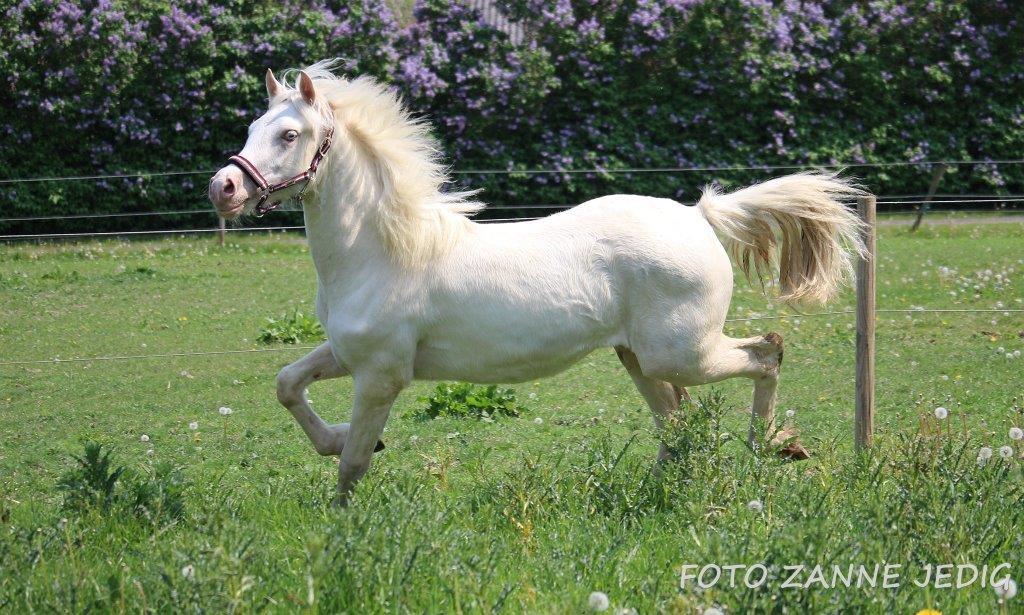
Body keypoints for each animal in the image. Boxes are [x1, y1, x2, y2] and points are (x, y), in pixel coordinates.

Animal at [207, 59, 864, 503]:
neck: (382, 250)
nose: (224, 188)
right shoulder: (347, 354)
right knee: (678, 425)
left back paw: (772, 445)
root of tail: (699, 215)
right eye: (253, 125)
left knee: (766, 353)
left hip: (683, 353)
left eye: (289, 134)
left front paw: (341, 528)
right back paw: (657, 490)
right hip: (640, 358)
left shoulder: (380, 374)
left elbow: (353, 465)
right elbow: (288, 385)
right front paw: (332, 439)